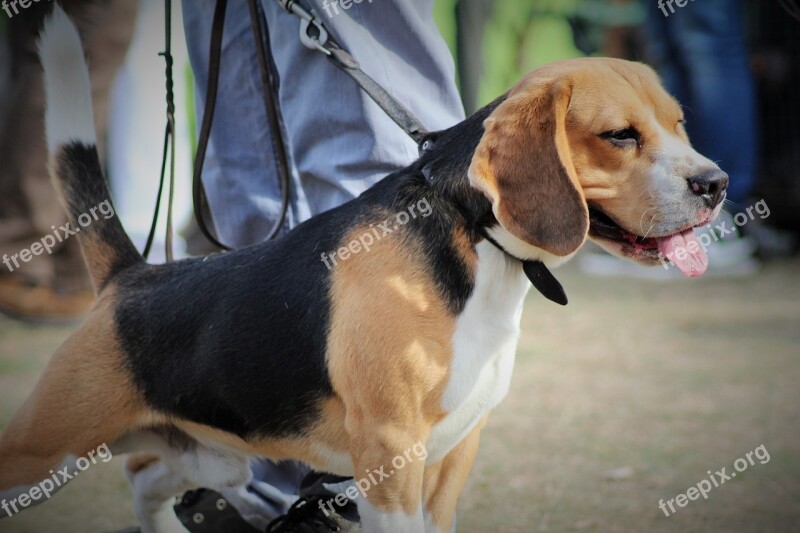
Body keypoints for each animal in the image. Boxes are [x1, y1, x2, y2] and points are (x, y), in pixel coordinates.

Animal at [0, 8, 728, 532]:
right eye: (619, 136)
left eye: (679, 124)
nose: (717, 184)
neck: (475, 236)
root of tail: (131, 276)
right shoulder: (390, 455)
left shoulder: (453, 457)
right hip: (45, 454)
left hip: (214, 455)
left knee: (147, 479)